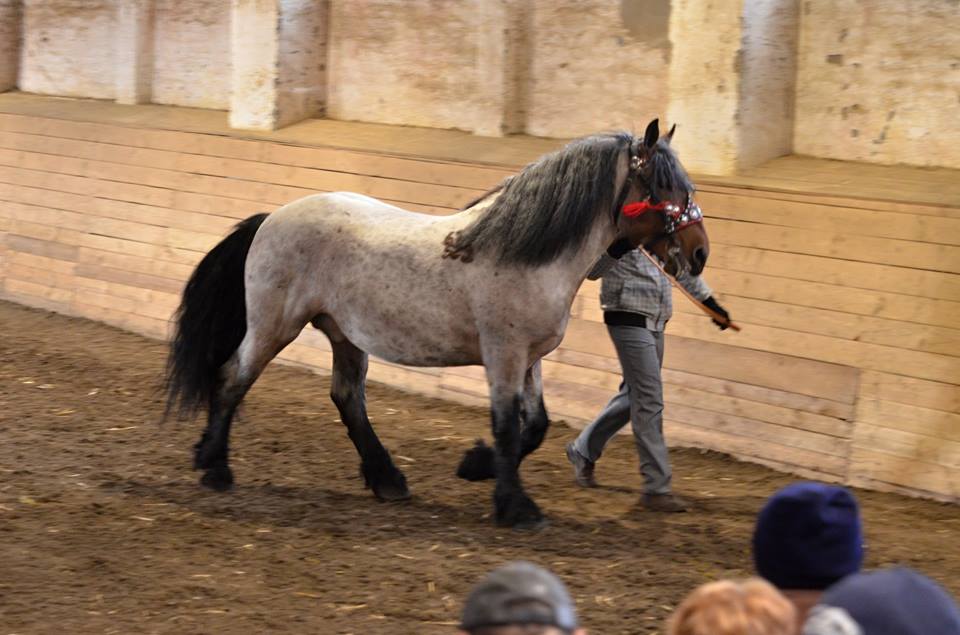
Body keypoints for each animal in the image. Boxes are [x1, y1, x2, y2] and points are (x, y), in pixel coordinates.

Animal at [163, 120, 704, 532]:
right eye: (663, 187)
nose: (699, 252)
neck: (526, 253)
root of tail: (271, 217)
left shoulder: (529, 359)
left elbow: (535, 427)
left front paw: (475, 467)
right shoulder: (503, 355)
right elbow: (508, 428)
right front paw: (516, 507)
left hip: (343, 334)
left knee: (347, 398)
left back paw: (387, 481)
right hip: (274, 327)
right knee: (232, 380)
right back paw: (215, 468)